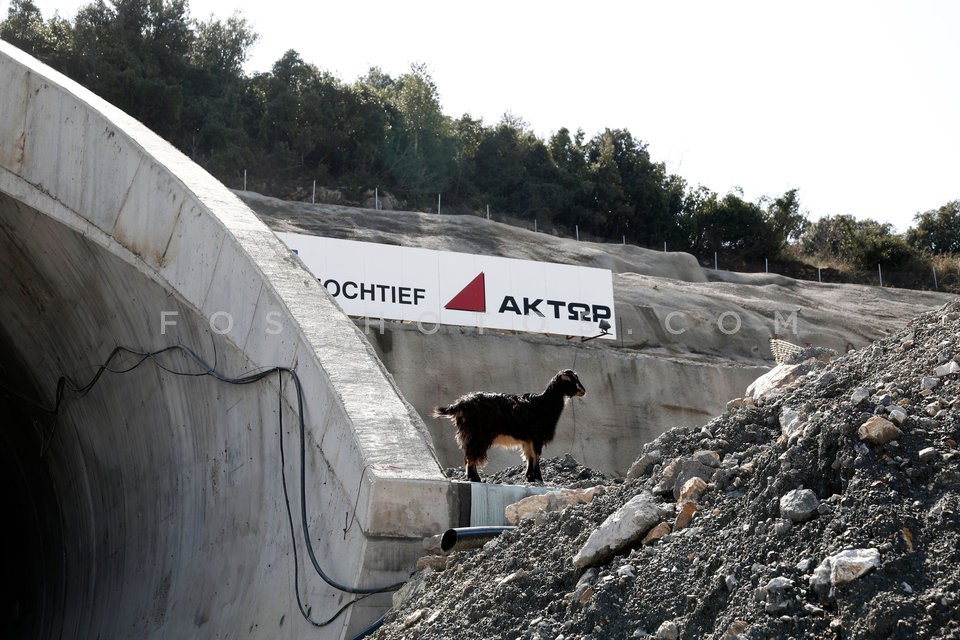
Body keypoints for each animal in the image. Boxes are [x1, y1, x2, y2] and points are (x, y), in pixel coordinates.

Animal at [434, 370, 584, 480]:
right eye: (571, 381)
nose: (583, 391)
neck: (544, 404)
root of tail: (461, 404)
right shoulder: (537, 437)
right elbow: (536, 456)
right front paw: (538, 478)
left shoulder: (528, 439)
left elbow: (529, 456)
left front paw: (530, 477)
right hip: (477, 435)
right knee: (471, 455)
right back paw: (475, 478)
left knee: (469, 455)